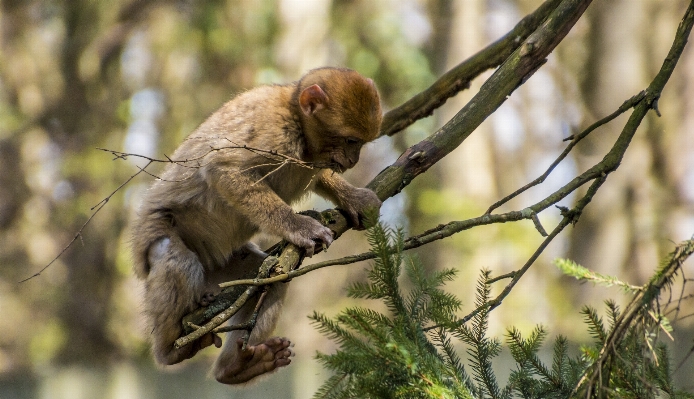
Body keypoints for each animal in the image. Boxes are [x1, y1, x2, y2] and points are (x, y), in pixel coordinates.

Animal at [128, 67, 384, 386]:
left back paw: (235, 367)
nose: (353, 160)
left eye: (359, 143)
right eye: (351, 141)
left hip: (223, 268)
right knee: (174, 256)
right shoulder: (273, 133)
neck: (296, 119)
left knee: (270, 280)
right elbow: (223, 169)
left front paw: (353, 197)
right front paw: (300, 227)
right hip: (158, 236)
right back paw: (170, 351)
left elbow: (321, 175)